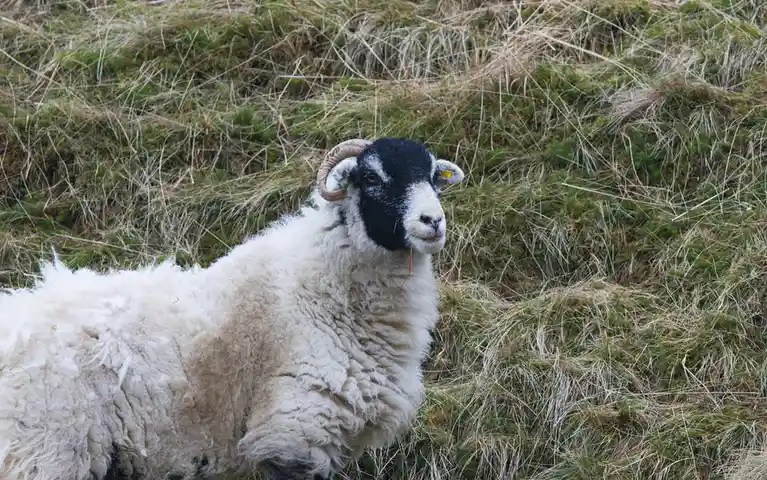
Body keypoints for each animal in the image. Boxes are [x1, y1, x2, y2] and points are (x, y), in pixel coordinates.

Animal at [0, 136, 466, 480]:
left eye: (433, 177)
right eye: (372, 177)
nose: (433, 222)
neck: (323, 289)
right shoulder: (294, 431)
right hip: (44, 453)